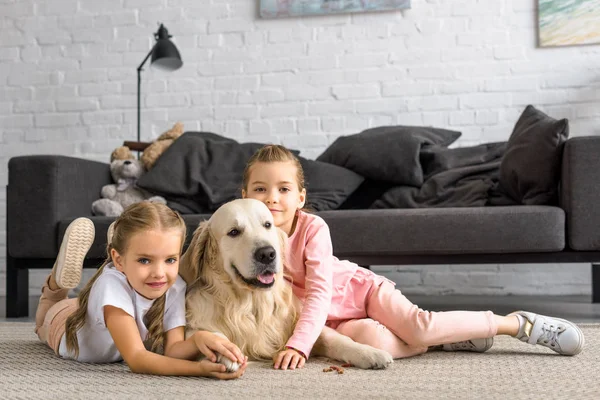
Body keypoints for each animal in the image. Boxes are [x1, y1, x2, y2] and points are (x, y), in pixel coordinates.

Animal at [178, 198, 394, 370]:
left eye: (267, 225)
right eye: (233, 232)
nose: (267, 254)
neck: (251, 303)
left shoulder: (299, 322)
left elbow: (334, 338)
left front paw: (370, 353)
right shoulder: (193, 326)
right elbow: (208, 335)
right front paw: (225, 351)